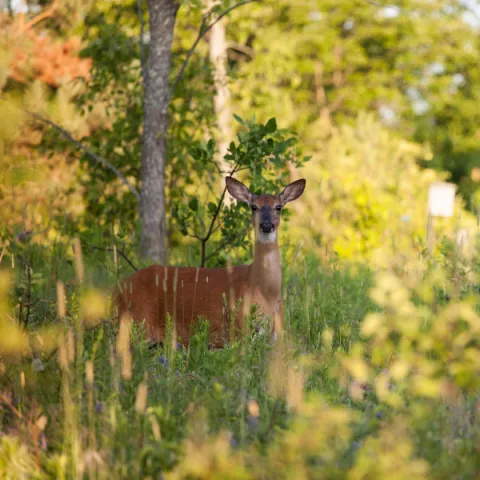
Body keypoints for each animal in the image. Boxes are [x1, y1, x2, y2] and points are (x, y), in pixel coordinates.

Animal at [114, 175, 306, 344]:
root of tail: (116, 290)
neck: (265, 292)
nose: (266, 225)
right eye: (253, 207)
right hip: (139, 320)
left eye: (278, 207)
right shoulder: (238, 327)